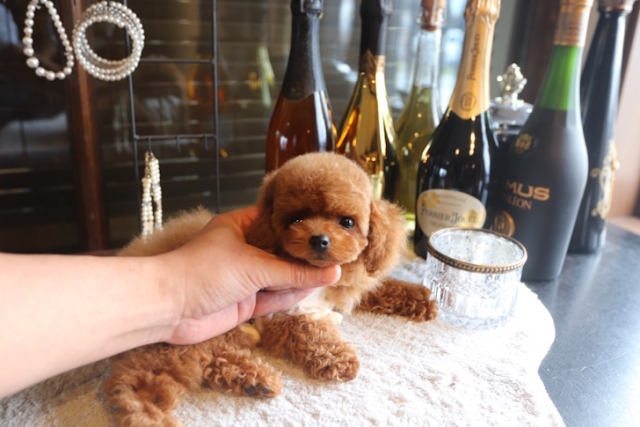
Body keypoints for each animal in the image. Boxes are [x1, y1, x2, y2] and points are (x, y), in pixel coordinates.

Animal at [102, 152, 437, 426]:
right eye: (296, 218)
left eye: (347, 222)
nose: (319, 240)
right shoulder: (284, 312)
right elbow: (312, 331)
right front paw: (339, 357)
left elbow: (378, 288)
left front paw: (421, 298)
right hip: (170, 342)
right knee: (138, 382)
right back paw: (150, 416)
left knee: (211, 360)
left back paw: (254, 380)